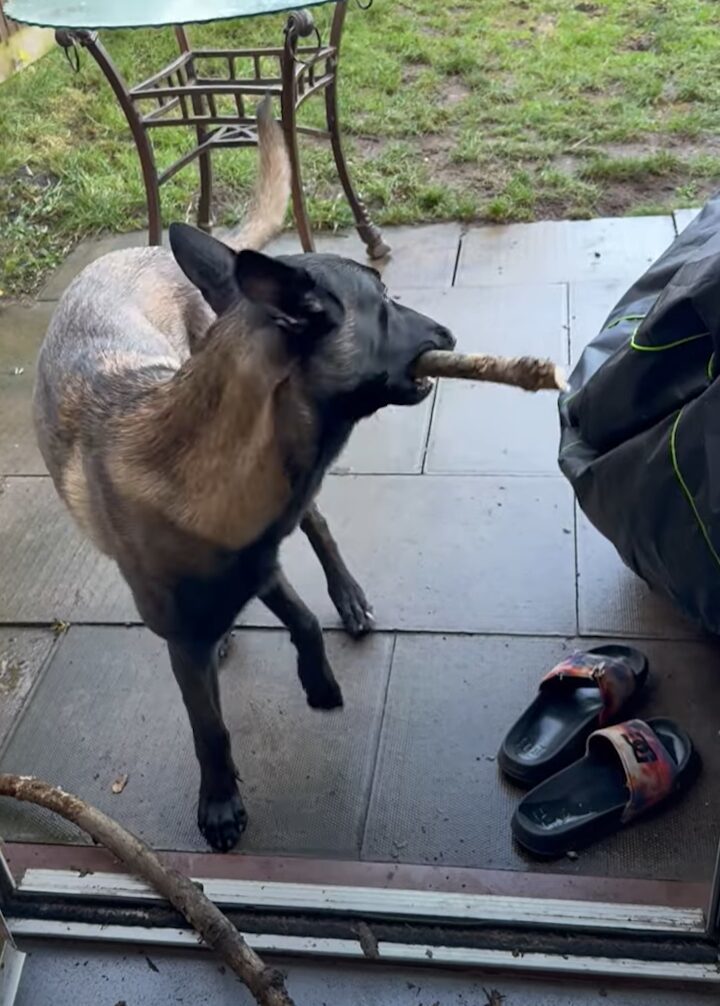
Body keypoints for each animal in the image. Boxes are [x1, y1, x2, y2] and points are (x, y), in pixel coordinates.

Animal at [35, 98, 456, 849]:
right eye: (384, 301)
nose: (449, 334)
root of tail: (142, 250)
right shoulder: (192, 630)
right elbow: (209, 727)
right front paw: (221, 799)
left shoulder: (262, 562)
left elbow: (304, 619)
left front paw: (319, 680)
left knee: (318, 525)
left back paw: (347, 596)